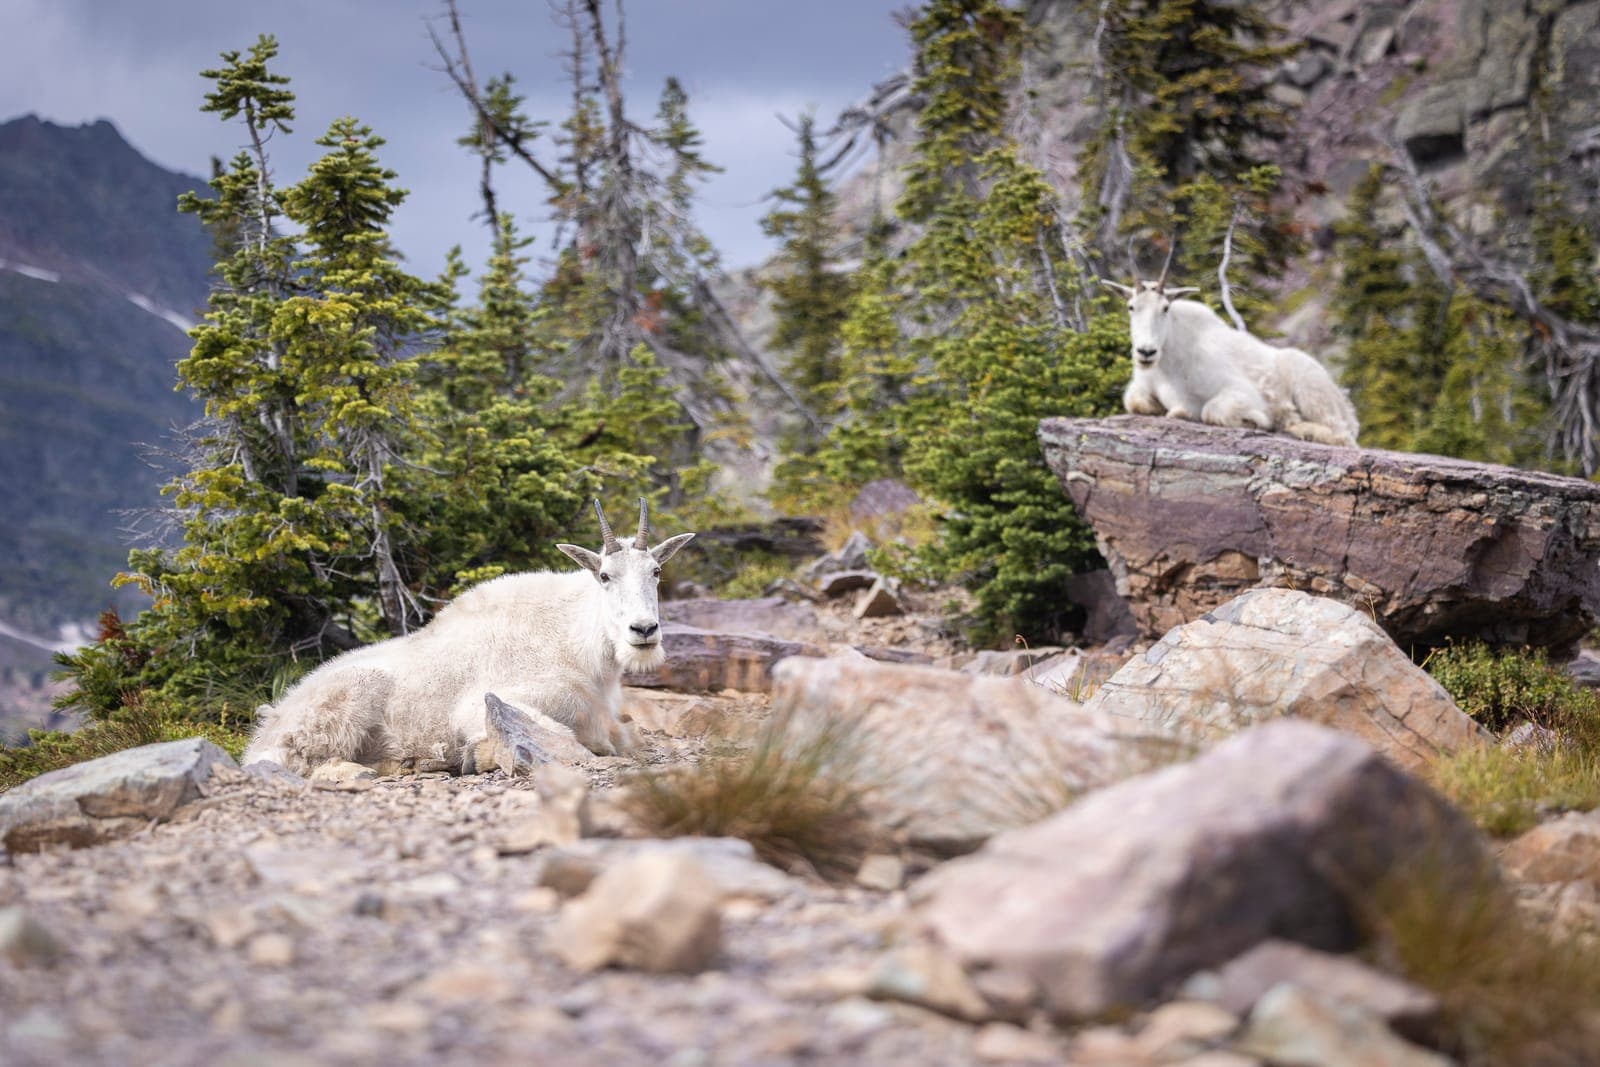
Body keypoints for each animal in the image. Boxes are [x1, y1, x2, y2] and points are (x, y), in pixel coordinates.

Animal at [241, 499, 695, 776]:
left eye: (656, 571)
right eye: (604, 575)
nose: (644, 631)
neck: (575, 640)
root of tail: (272, 718)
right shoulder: (493, 702)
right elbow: (576, 736)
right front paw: (475, 754)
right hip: (346, 701)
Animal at [1104, 279, 1360, 448]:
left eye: (1165, 308)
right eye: (1131, 307)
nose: (1146, 352)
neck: (1166, 362)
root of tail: (1347, 406)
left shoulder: (1241, 391)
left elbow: (1210, 411)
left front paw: (1255, 421)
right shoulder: (1140, 388)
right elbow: (1134, 402)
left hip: (1309, 386)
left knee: (1342, 435)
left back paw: (1300, 428)